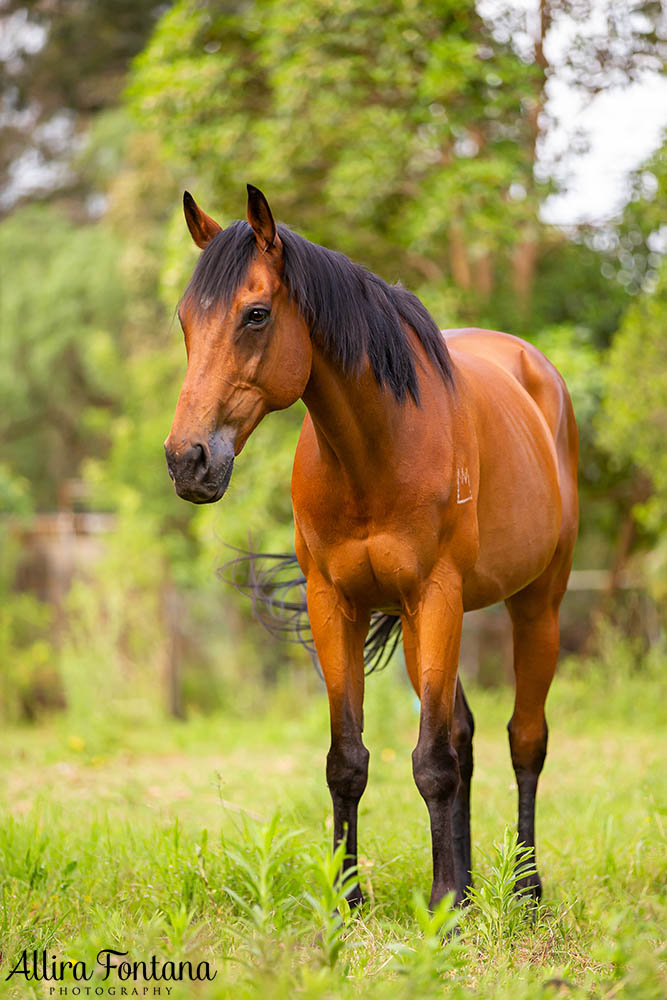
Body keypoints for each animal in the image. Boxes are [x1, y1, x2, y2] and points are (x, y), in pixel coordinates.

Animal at [167, 184, 580, 912]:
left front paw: (442, 905)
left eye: (255, 314)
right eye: (186, 321)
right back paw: (471, 883)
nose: (188, 460)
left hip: (536, 605)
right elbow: (349, 759)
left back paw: (526, 888)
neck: (378, 448)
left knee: (524, 740)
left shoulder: (434, 595)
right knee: (463, 736)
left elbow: (432, 763)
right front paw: (350, 897)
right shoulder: (337, 604)